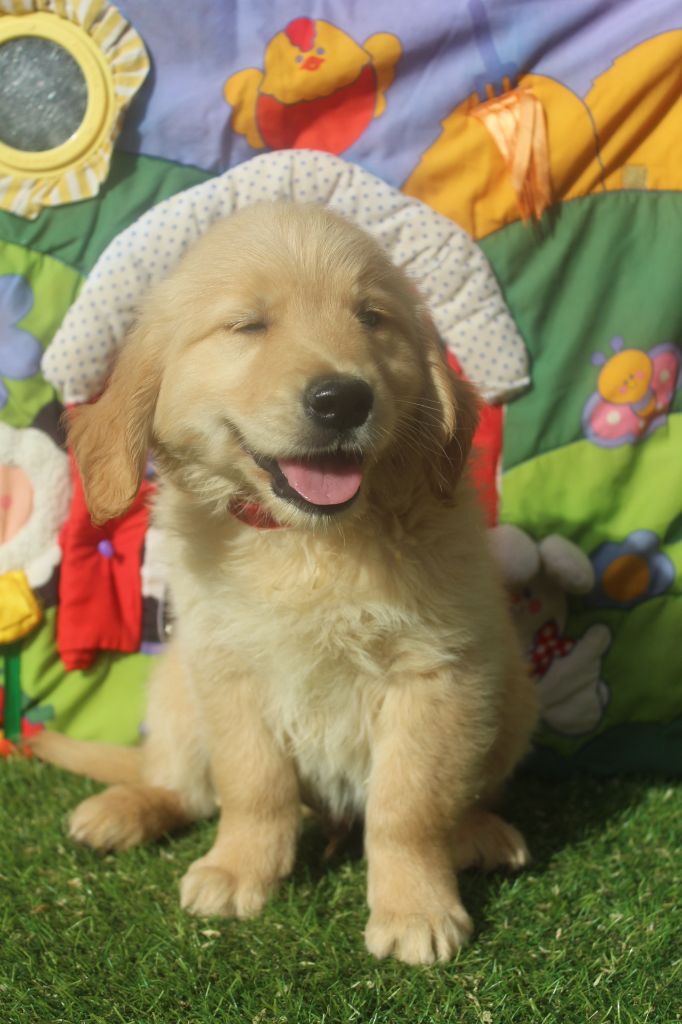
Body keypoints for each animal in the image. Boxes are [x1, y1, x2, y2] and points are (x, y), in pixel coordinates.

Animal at [32, 202, 538, 965]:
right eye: (247, 325)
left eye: (372, 318)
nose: (344, 399)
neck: (309, 542)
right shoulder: (228, 669)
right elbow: (252, 785)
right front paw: (239, 869)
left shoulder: (437, 674)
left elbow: (410, 806)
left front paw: (415, 906)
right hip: (175, 685)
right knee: (180, 783)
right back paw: (127, 809)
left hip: (511, 694)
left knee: (464, 796)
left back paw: (478, 833)